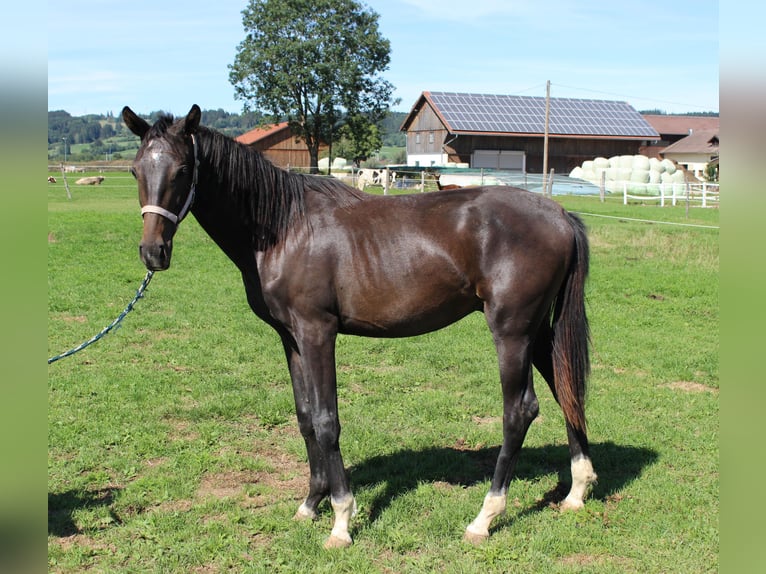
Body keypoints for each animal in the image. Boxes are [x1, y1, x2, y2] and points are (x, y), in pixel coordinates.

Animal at [123, 104, 597, 549]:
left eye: (183, 170)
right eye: (135, 170)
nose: (153, 252)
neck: (283, 227)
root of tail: (559, 214)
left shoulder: (317, 333)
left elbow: (327, 420)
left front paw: (341, 520)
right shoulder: (290, 339)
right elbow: (305, 417)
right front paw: (310, 504)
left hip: (511, 332)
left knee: (519, 411)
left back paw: (484, 518)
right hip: (537, 332)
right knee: (566, 389)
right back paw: (577, 491)